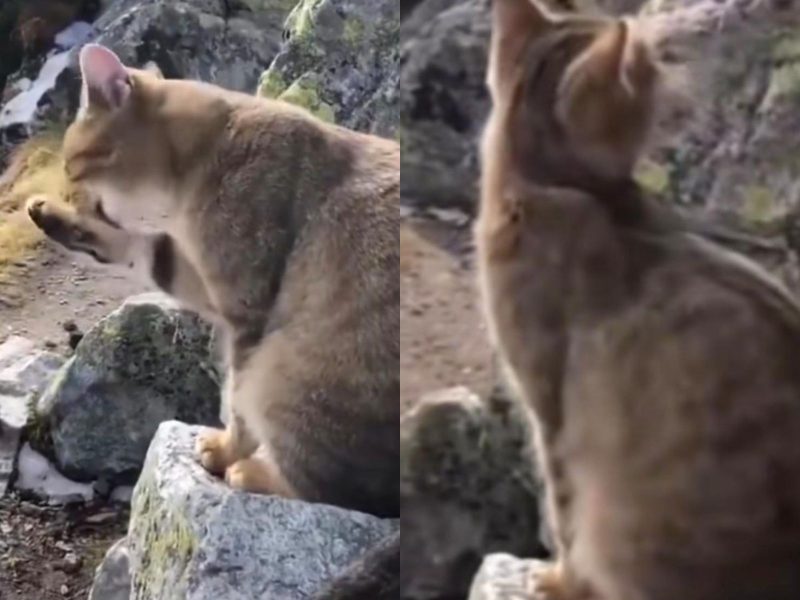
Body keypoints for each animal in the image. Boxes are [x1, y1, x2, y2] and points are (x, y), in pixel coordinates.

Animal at [25, 44, 400, 516]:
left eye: (71, 166)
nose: (66, 190)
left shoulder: (245, 312)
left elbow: (236, 406)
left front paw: (224, 450)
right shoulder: (199, 278)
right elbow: (139, 248)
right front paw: (51, 217)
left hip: (284, 375)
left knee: (332, 489)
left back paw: (253, 472)